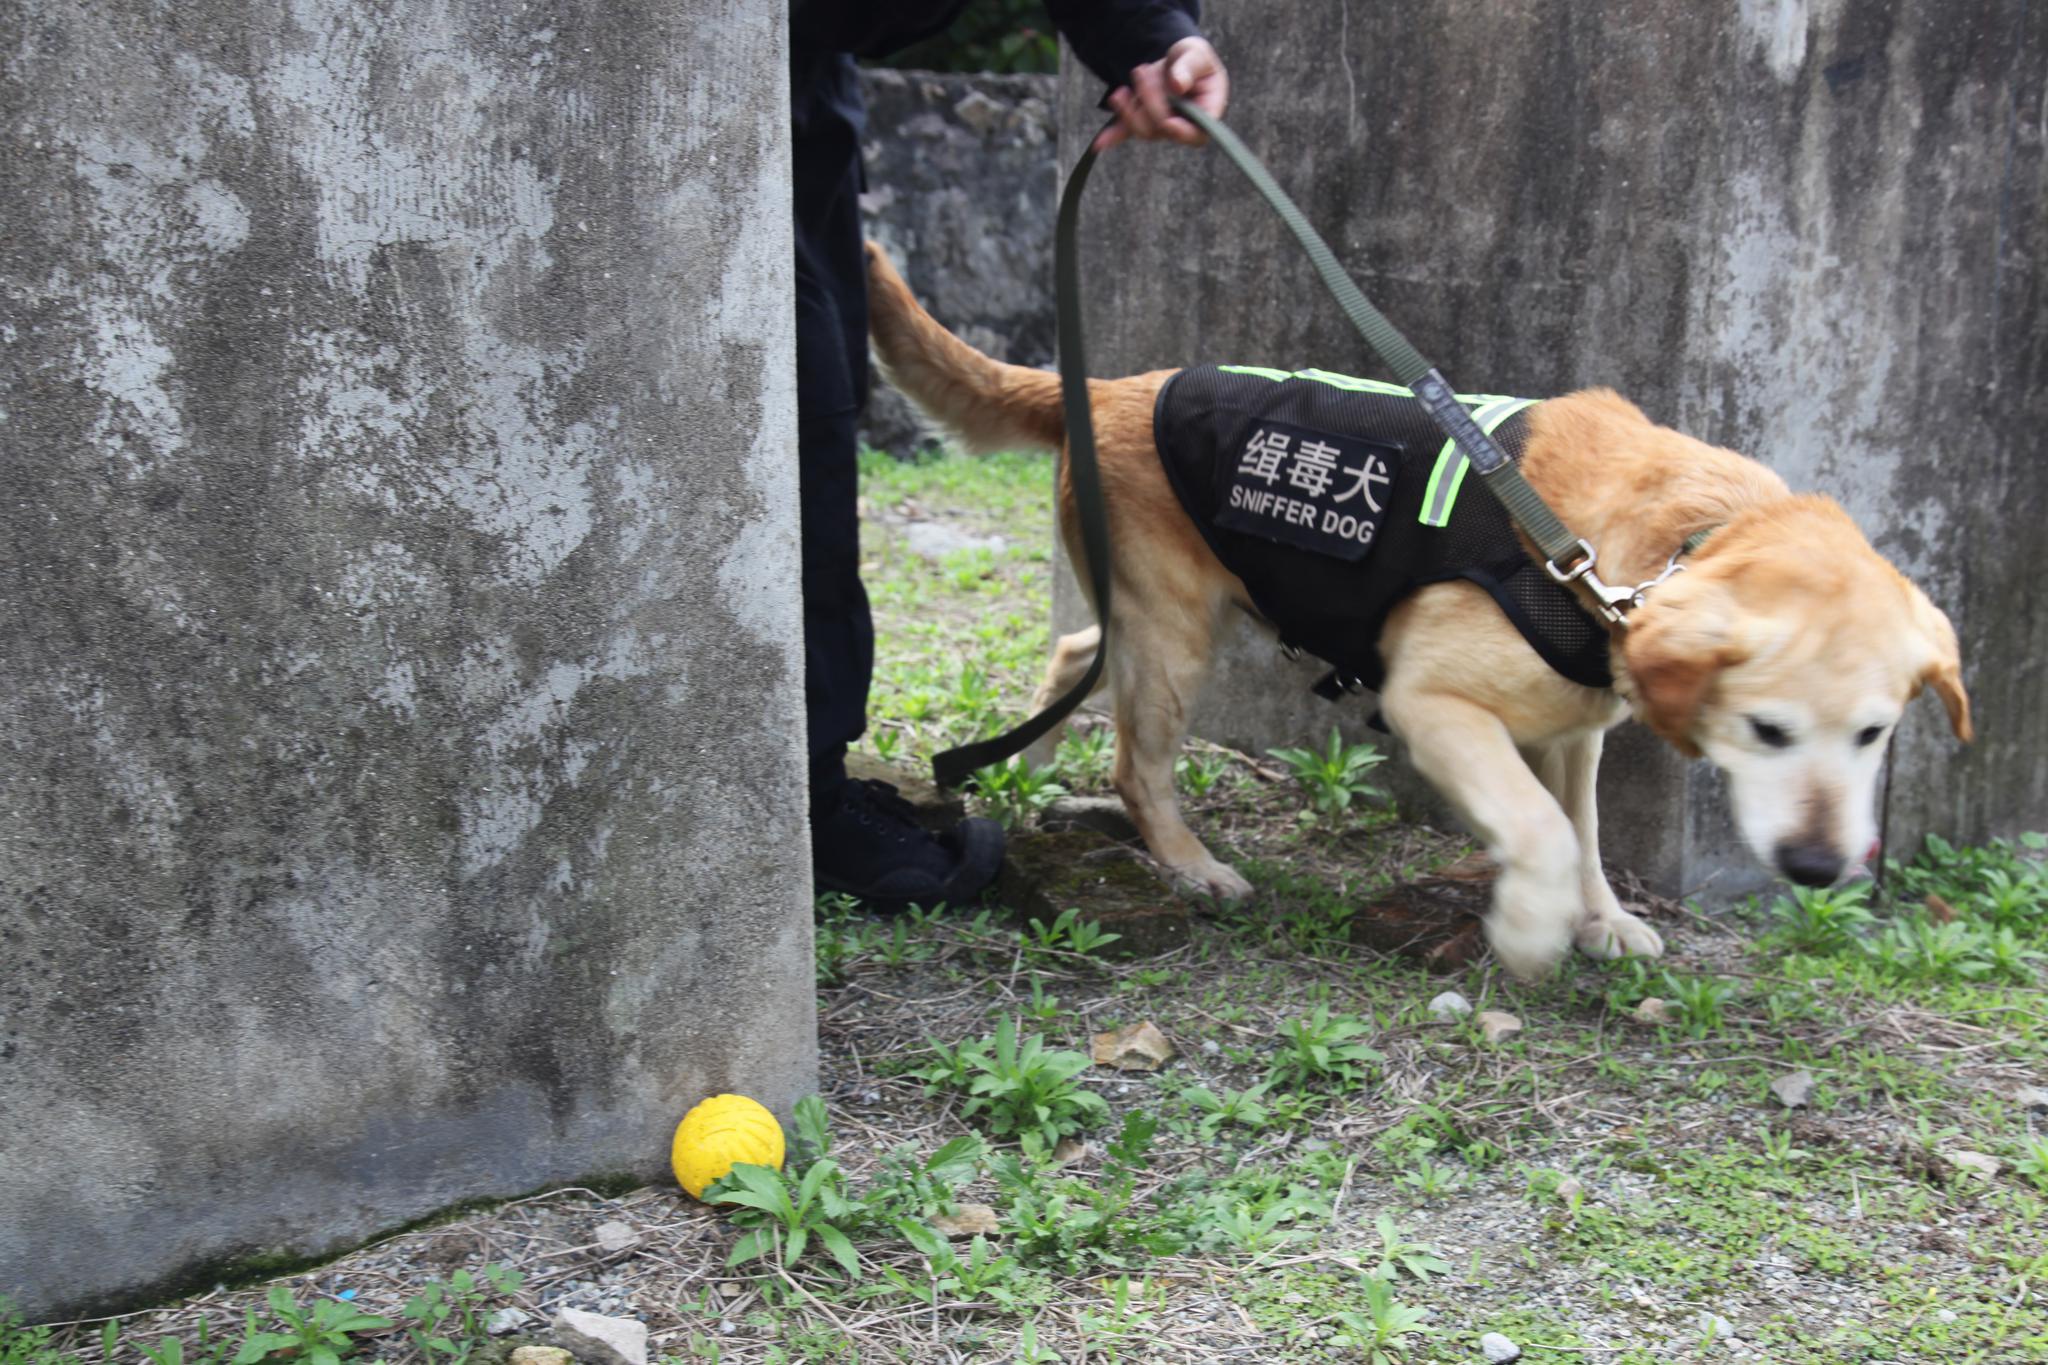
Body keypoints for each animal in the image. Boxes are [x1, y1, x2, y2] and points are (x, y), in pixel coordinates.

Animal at [860, 240, 1966, 978]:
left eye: (1874, 734)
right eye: (1767, 730)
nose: (1820, 868)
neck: (1648, 554)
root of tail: (1107, 388)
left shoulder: (1576, 732)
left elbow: (1584, 831)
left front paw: (1600, 919)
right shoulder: (1432, 704)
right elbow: (1542, 830)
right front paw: (1529, 926)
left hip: (1167, 616)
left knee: (1072, 653)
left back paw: (1026, 765)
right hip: (1175, 636)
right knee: (1139, 763)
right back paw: (1189, 866)